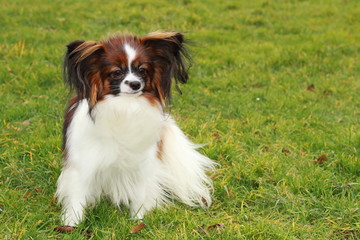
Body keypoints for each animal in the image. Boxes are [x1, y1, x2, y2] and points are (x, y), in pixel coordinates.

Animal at [54, 30, 215, 227]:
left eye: (142, 70)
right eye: (116, 72)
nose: (136, 84)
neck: (125, 106)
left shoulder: (142, 162)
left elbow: (140, 193)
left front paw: (137, 219)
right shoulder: (83, 161)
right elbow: (77, 195)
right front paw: (72, 223)